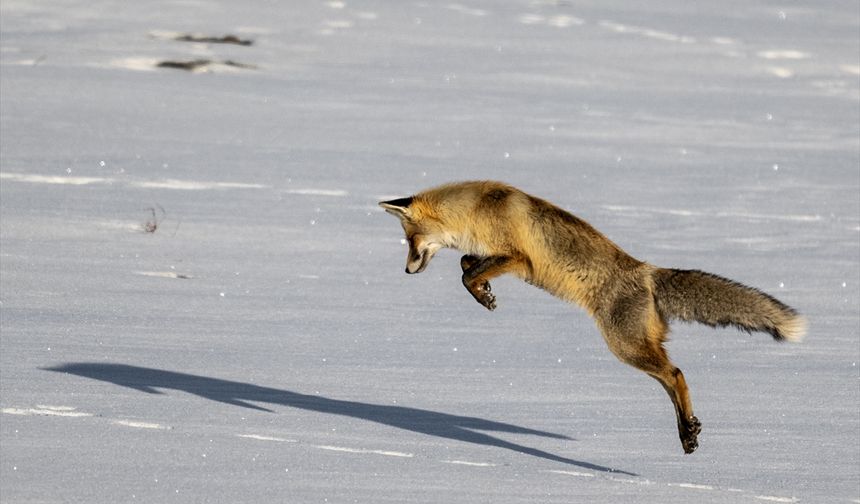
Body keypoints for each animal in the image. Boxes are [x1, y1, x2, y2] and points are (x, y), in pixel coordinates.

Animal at [380, 180, 804, 452]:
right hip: (635, 345)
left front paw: (482, 294)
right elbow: (468, 264)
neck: (477, 209)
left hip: (624, 346)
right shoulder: (494, 255)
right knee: (671, 377)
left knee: (677, 374)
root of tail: (647, 272)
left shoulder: (519, 258)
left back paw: (687, 431)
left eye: (410, 240)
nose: (406, 271)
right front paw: (485, 294)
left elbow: (467, 272)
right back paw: (688, 431)